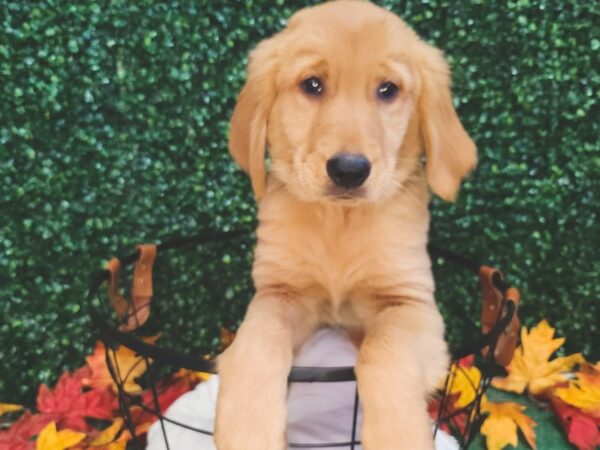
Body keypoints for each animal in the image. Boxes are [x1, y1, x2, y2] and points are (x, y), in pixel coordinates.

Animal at [213, 1, 476, 448]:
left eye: (388, 90)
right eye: (312, 84)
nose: (349, 171)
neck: (339, 222)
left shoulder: (412, 304)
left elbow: (382, 351)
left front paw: (398, 435)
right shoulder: (279, 292)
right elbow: (258, 340)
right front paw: (246, 428)